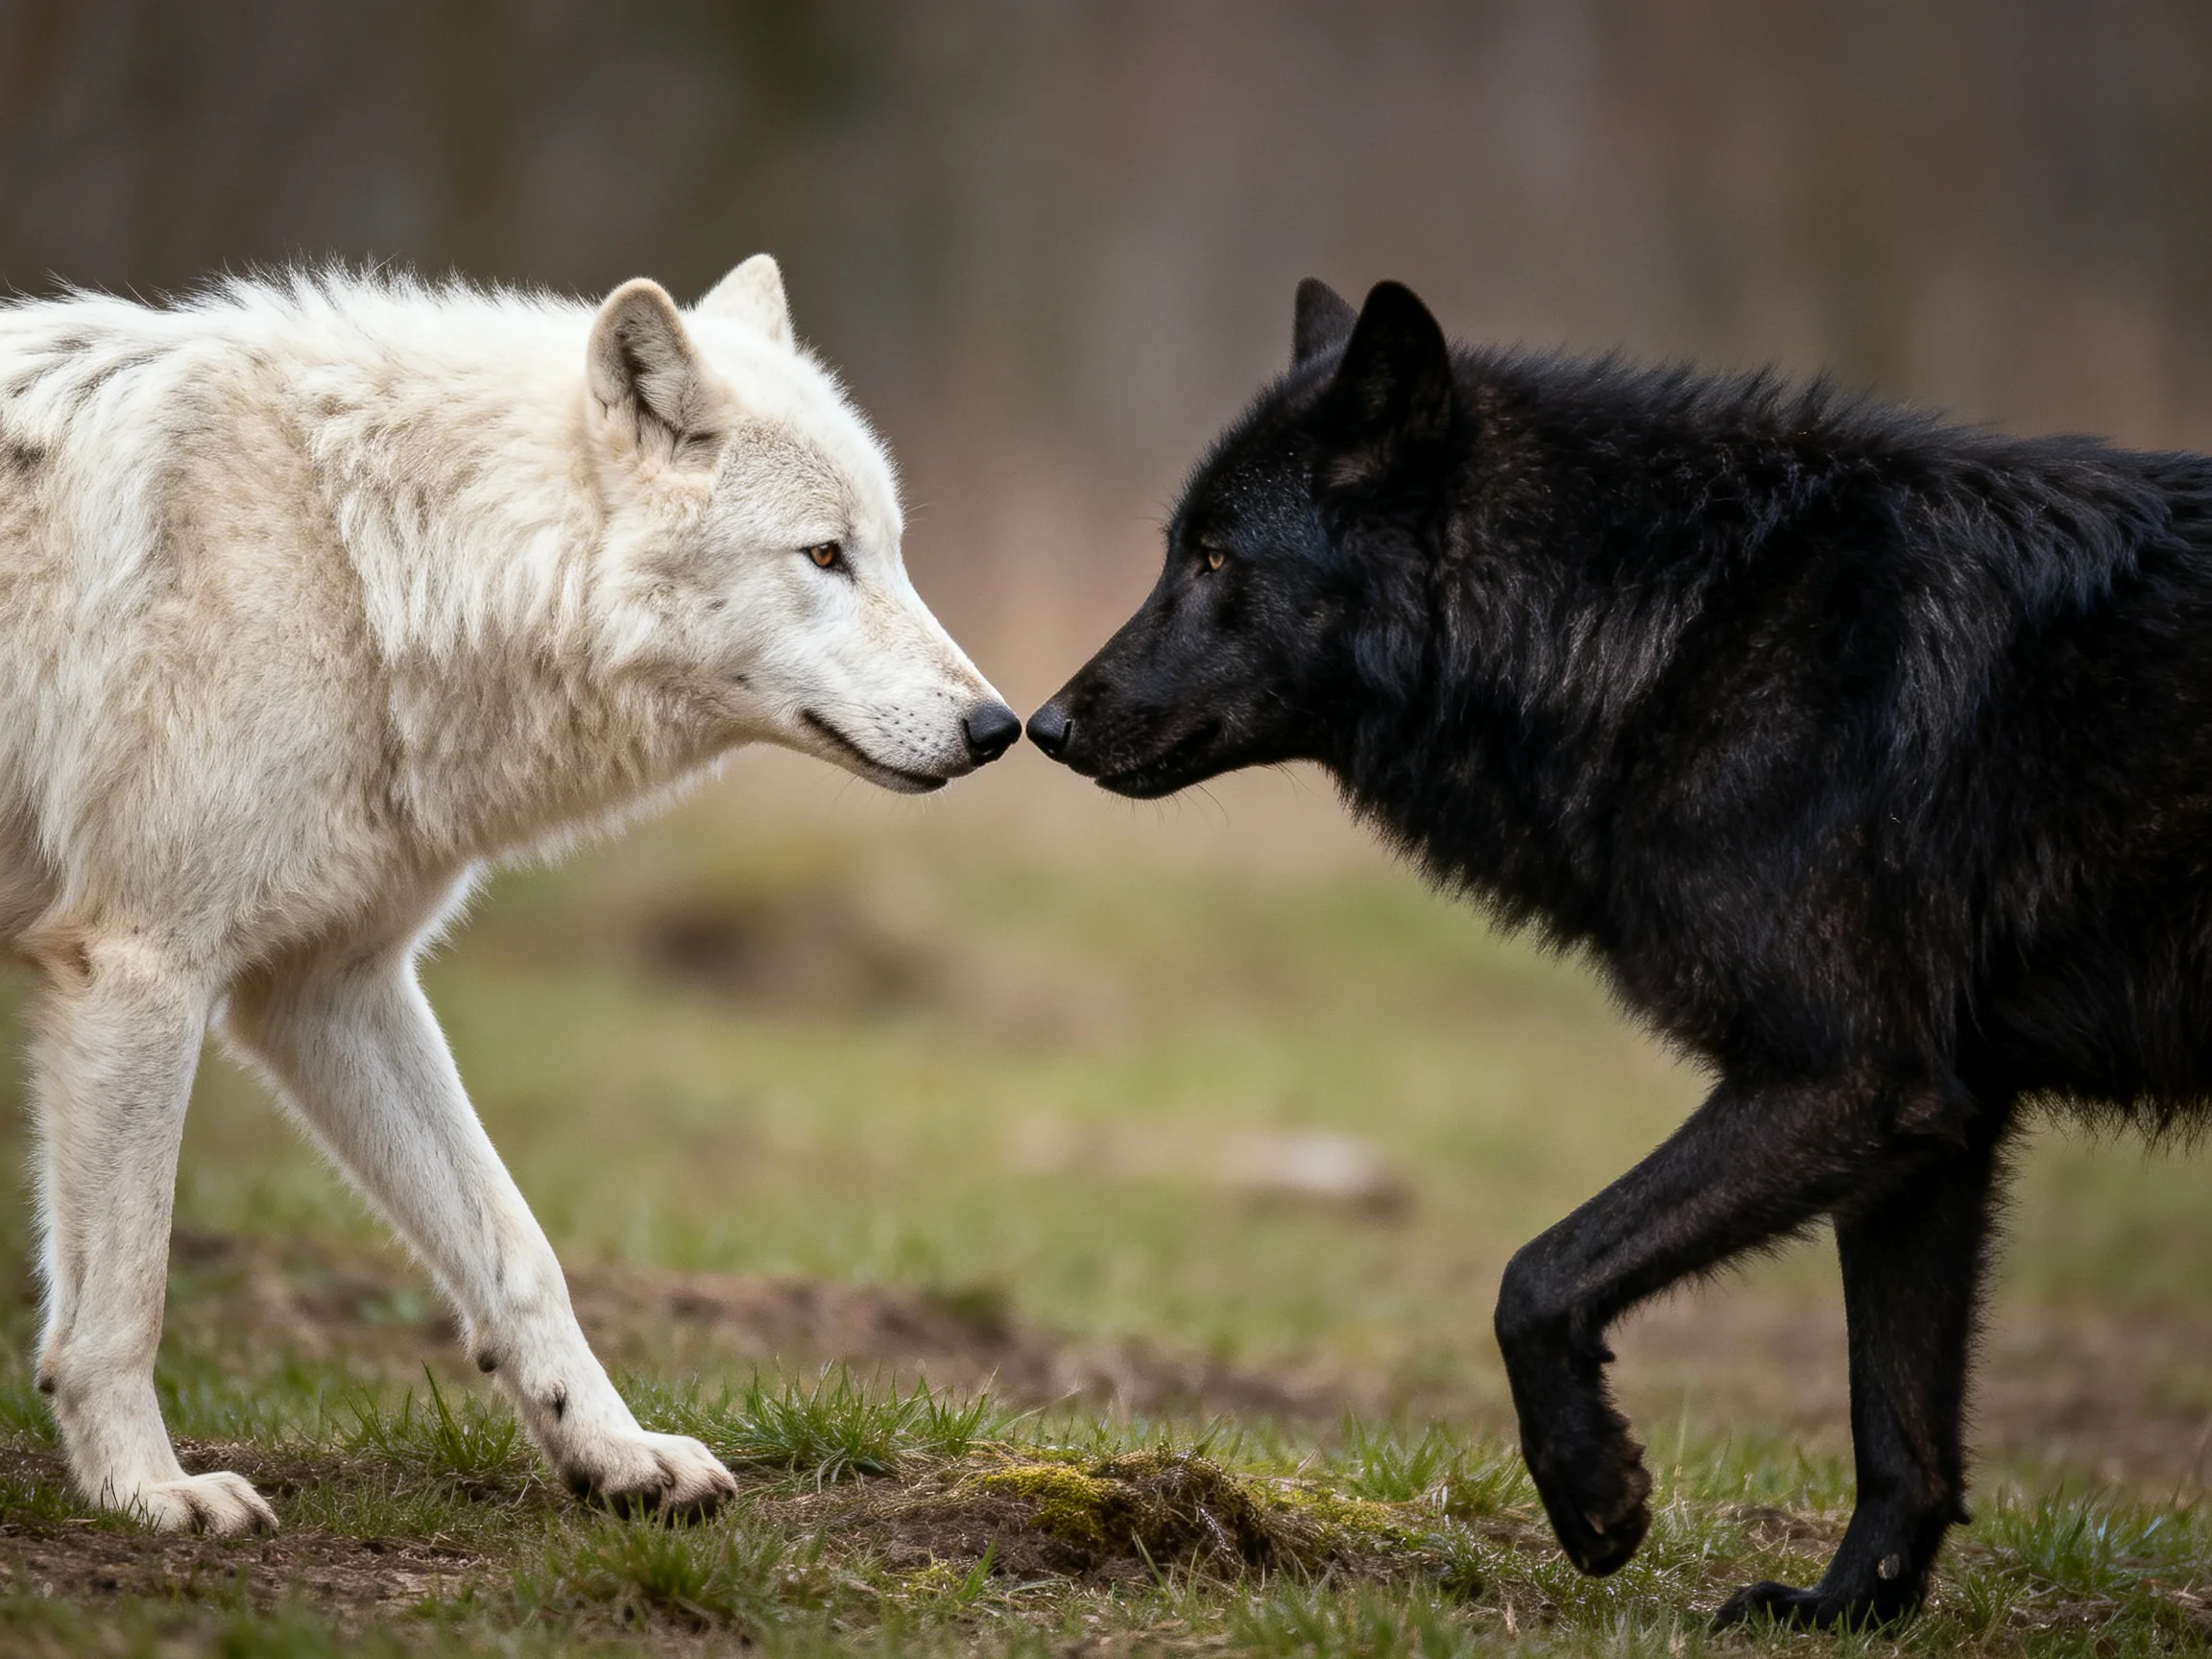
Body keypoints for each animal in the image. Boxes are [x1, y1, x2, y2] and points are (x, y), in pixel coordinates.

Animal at [0, 257, 1019, 1533]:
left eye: (891, 550)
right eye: (826, 555)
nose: (999, 727)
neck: (361, 560)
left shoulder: (327, 990)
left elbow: (518, 1249)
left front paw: (617, 1451)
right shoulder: (140, 965)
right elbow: (126, 1293)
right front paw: (147, 1491)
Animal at [1028, 277, 2212, 1626]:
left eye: (1217, 557)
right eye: (1179, 548)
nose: (1042, 725)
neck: (1681, 627)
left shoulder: (1844, 1081)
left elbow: (1535, 1277)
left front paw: (1592, 1494)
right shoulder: (1935, 1125)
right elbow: (1898, 1426)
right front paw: (1843, 1613)